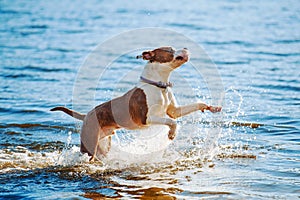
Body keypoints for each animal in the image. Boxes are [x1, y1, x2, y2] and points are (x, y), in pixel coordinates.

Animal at [51, 47, 220, 161]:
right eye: (169, 50)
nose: (186, 48)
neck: (159, 85)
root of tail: (86, 115)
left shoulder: (174, 111)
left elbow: (195, 105)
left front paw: (211, 107)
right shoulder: (148, 118)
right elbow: (172, 122)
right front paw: (172, 133)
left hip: (103, 144)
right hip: (89, 146)